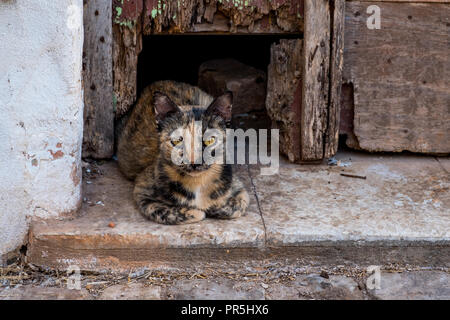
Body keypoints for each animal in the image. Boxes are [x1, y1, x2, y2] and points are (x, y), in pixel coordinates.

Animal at [116, 80, 250, 225]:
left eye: (209, 140)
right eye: (177, 141)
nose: (194, 162)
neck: (197, 183)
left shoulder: (238, 187)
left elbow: (238, 206)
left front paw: (216, 207)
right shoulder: (142, 190)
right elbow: (173, 212)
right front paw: (199, 211)